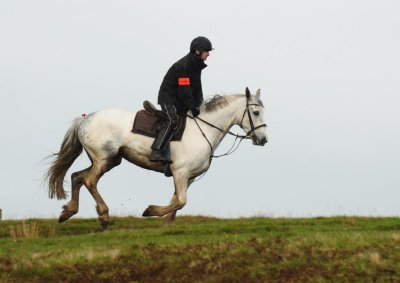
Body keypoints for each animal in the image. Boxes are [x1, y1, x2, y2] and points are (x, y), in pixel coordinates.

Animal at [43, 87, 268, 229]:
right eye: (256, 112)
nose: (264, 139)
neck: (203, 130)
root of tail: (84, 119)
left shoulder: (189, 177)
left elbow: (176, 201)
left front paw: (166, 224)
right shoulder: (180, 172)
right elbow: (181, 201)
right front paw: (150, 211)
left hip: (109, 160)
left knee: (76, 177)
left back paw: (68, 212)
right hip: (104, 159)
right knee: (89, 181)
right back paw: (104, 216)